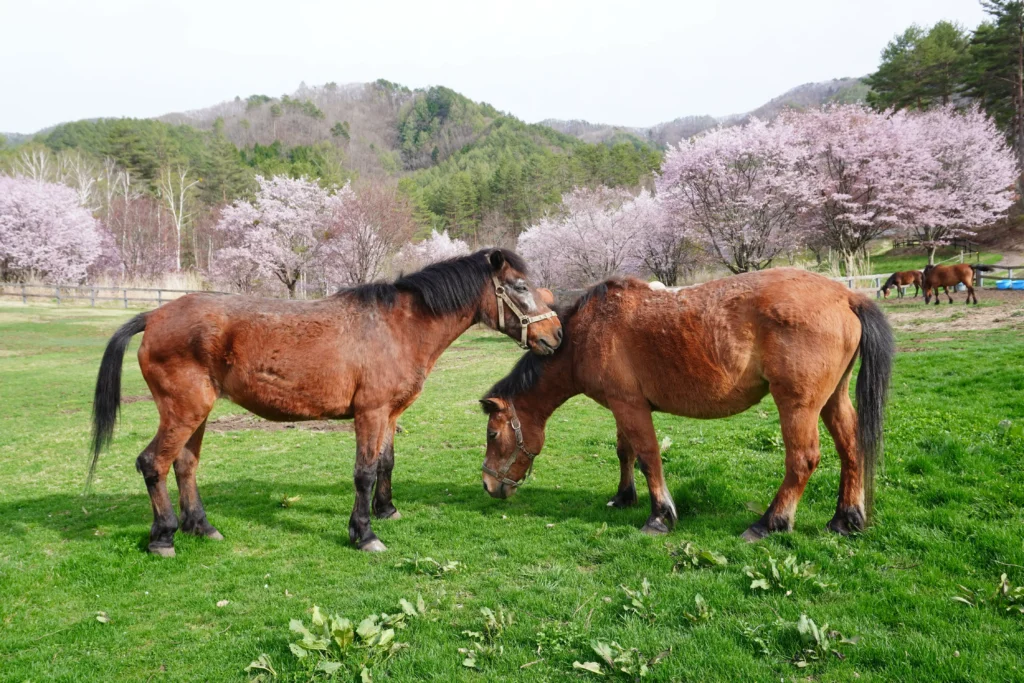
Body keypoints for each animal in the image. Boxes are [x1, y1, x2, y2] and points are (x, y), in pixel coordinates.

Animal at [89, 249, 563, 556]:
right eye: (520, 287)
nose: (555, 335)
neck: (398, 327)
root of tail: (154, 316)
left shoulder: (389, 414)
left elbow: (386, 464)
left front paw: (386, 511)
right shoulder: (370, 413)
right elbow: (364, 473)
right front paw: (364, 534)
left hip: (197, 413)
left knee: (184, 466)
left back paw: (202, 527)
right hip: (183, 411)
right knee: (153, 463)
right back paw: (163, 537)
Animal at [479, 269, 893, 541]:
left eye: (493, 434)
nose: (488, 484)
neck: (588, 332)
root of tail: (846, 296)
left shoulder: (630, 406)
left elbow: (648, 457)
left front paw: (660, 516)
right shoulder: (621, 405)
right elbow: (625, 452)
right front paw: (623, 497)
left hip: (797, 405)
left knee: (802, 460)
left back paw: (770, 523)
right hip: (833, 399)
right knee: (851, 448)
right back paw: (845, 519)